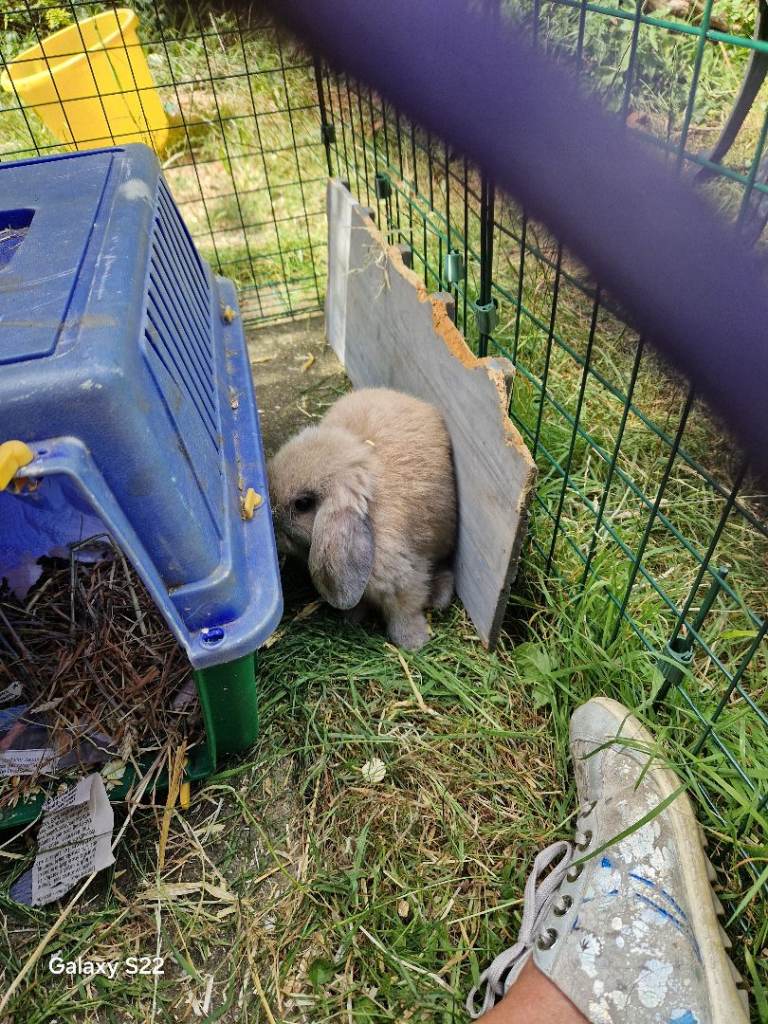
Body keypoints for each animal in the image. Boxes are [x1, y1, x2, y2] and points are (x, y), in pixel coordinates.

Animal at [268, 387, 457, 650]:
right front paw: (352, 618)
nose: (274, 530)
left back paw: (439, 597)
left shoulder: (404, 582)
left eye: (303, 504)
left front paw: (414, 642)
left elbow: (405, 612)